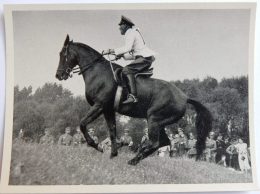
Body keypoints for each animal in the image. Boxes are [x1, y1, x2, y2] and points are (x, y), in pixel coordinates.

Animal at [55, 35, 212, 165]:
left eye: (63, 54)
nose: (58, 75)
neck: (98, 72)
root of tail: (184, 97)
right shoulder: (108, 110)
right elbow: (112, 130)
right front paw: (113, 153)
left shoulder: (99, 106)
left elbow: (82, 124)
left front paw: (97, 146)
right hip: (159, 122)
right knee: (163, 142)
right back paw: (136, 158)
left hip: (154, 119)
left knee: (154, 143)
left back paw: (133, 159)